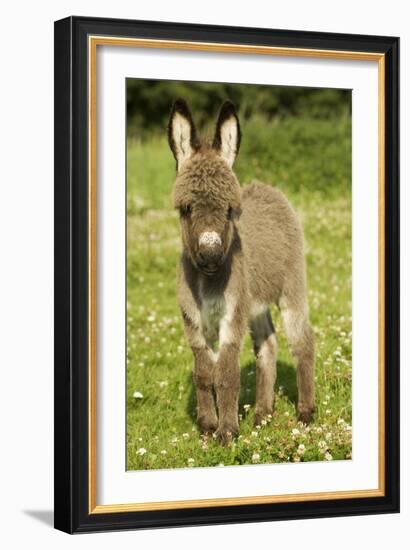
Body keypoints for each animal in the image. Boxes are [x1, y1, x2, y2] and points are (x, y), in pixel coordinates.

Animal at [168, 98, 316, 444]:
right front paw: (208, 427)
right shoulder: (194, 322)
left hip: (291, 289)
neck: (207, 282)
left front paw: (226, 433)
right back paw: (263, 414)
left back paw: (305, 413)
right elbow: (203, 373)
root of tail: (268, 189)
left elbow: (226, 374)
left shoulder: (230, 317)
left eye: (229, 210)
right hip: (255, 303)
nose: (210, 256)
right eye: (186, 209)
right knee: (268, 346)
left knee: (303, 342)